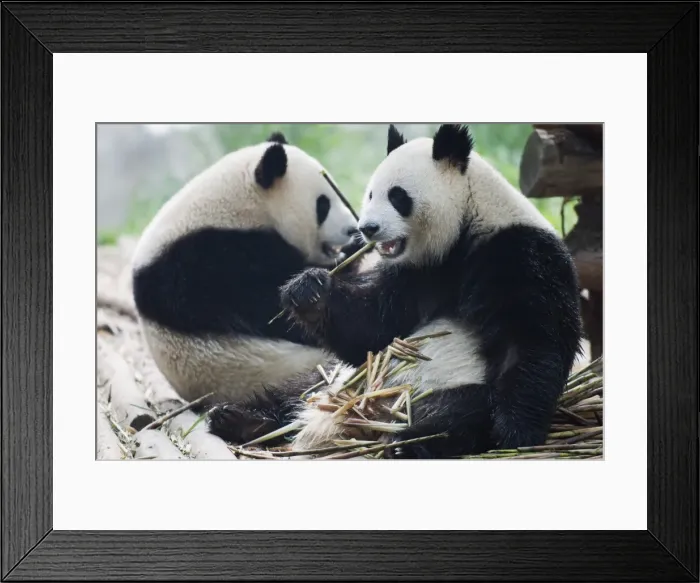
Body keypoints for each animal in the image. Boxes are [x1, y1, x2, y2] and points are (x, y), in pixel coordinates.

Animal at [207, 124, 583, 458]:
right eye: (371, 193)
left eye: (397, 196)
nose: (367, 228)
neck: (465, 228)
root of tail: (364, 416)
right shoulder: (418, 273)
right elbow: (374, 329)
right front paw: (307, 290)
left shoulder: (518, 254)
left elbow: (533, 339)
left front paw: (514, 431)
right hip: (332, 382)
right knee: (296, 390)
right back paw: (239, 418)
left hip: (436, 391)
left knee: (460, 412)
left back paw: (408, 443)